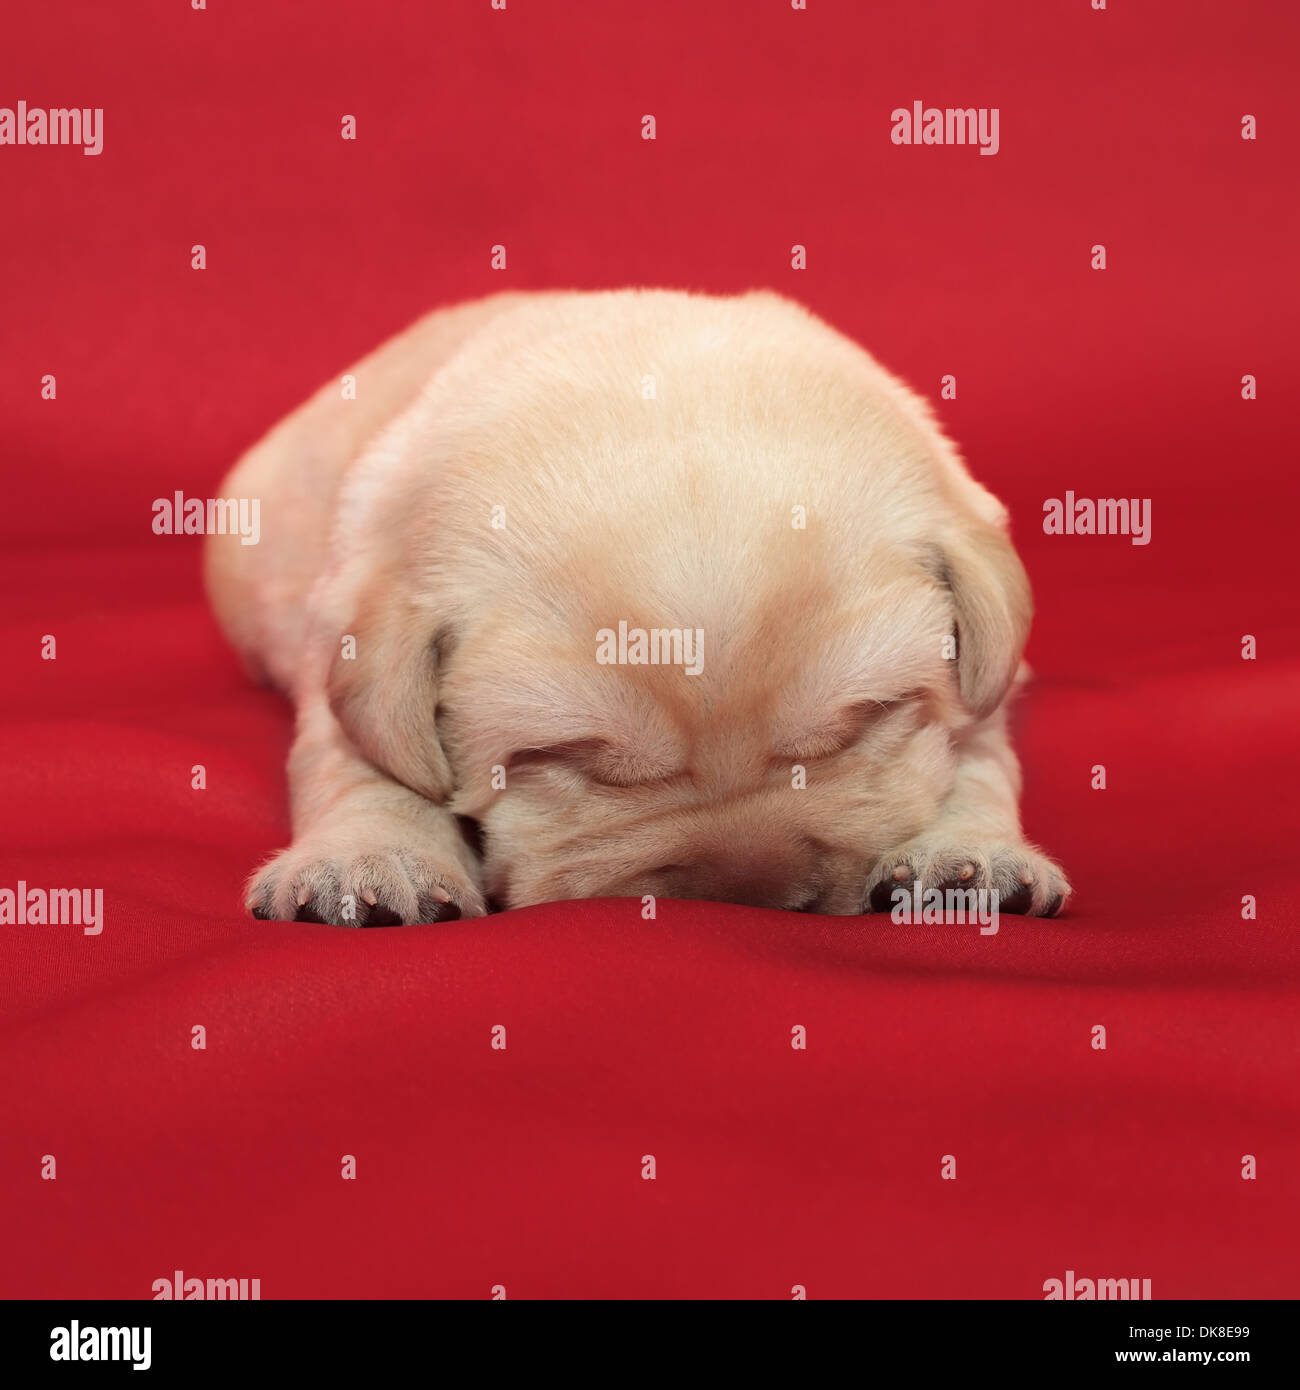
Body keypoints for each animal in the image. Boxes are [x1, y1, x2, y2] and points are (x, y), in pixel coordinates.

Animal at [208, 289, 1073, 922]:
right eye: (569, 760)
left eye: (868, 720)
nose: (750, 899)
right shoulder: (342, 651)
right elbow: (362, 769)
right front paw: (372, 861)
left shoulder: (991, 681)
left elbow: (980, 759)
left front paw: (966, 858)